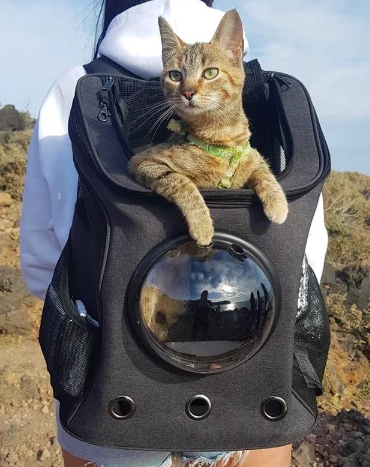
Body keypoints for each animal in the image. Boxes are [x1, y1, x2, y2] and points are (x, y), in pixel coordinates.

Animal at [128, 8, 290, 249]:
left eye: (210, 73)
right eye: (175, 75)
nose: (187, 92)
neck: (222, 137)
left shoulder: (252, 155)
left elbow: (264, 171)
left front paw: (278, 202)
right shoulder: (143, 162)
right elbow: (181, 182)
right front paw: (202, 224)